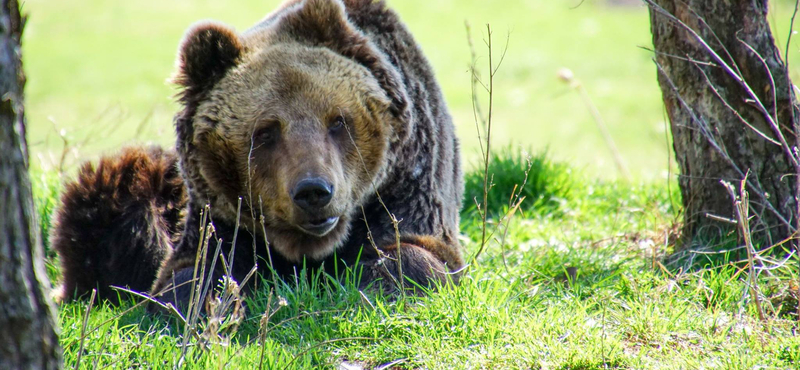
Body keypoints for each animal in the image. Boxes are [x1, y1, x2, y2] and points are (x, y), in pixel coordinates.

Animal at [51, 0, 462, 310]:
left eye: (337, 121)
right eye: (265, 132)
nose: (314, 191)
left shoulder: (405, 181)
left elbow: (413, 252)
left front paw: (379, 286)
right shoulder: (219, 215)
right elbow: (194, 270)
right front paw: (200, 306)